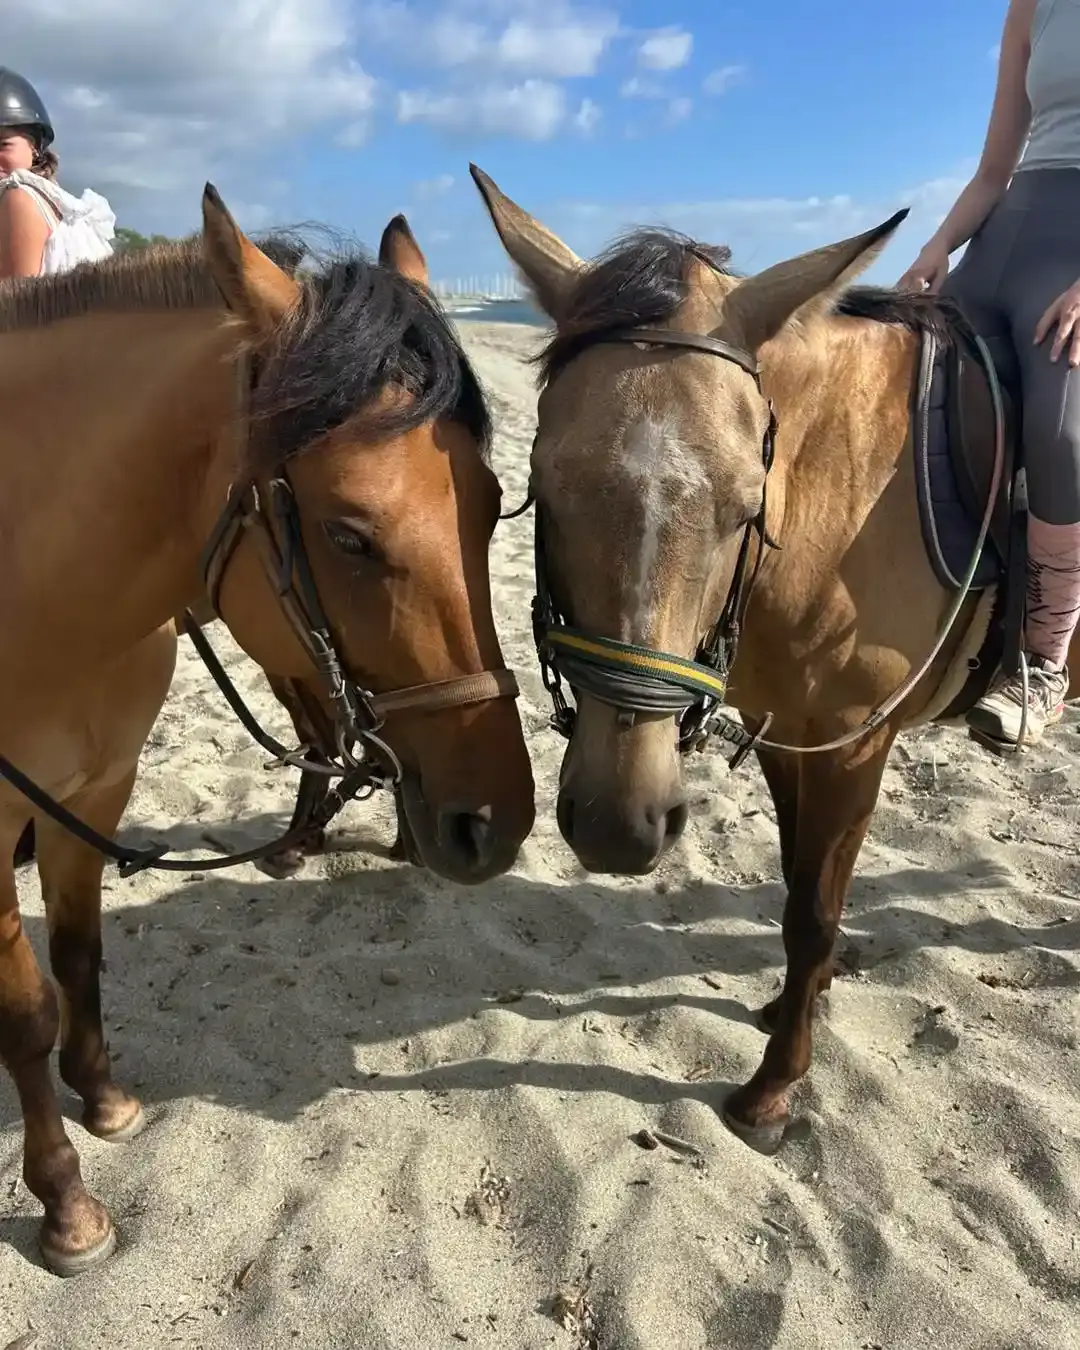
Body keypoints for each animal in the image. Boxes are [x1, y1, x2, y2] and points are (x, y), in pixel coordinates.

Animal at [0, 185, 534, 1275]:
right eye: (348, 536)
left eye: (495, 502)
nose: (494, 823)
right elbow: (25, 1011)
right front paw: (67, 1203)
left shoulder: (94, 793)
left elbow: (77, 954)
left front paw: (105, 1098)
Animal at [468, 163, 1073, 1157]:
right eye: (542, 485)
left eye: (746, 503)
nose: (618, 825)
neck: (852, 495)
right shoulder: (789, 735)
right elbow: (796, 890)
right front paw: (791, 1011)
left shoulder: (852, 745)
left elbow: (815, 913)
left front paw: (775, 1086)